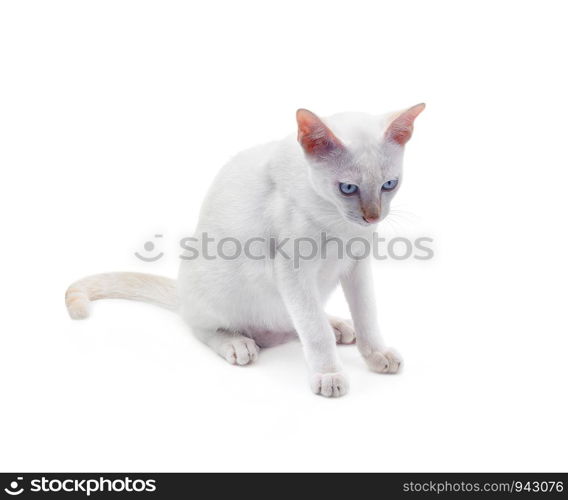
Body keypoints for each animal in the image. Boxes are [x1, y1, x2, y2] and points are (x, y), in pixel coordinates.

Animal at [64, 104, 424, 398]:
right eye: (348, 188)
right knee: (203, 327)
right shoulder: (293, 271)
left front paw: (376, 354)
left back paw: (336, 324)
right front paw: (328, 374)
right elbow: (314, 331)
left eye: (389, 185)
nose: (372, 217)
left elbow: (366, 315)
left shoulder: (357, 264)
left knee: (294, 322)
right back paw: (237, 342)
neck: (338, 223)